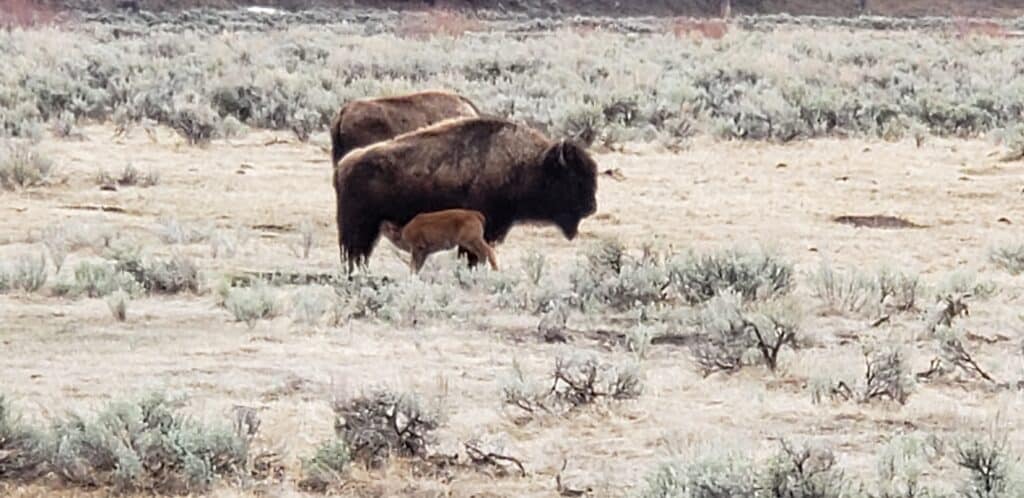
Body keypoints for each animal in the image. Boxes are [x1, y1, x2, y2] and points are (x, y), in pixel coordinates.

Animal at [334, 117, 599, 272]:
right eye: (573, 178)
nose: (591, 207)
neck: (528, 165)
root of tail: (345, 164)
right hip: (359, 229)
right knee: (354, 254)